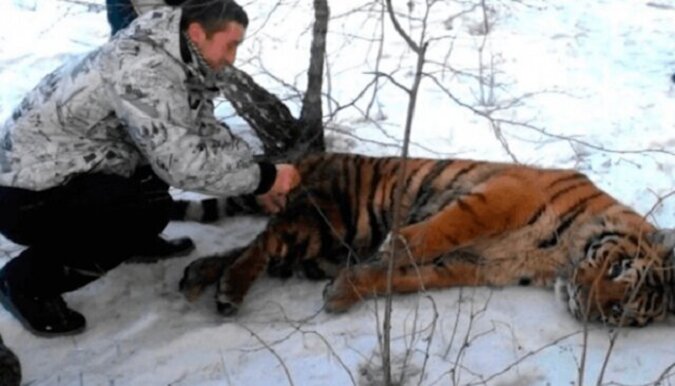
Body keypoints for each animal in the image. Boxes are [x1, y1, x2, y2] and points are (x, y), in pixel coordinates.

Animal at [178, 152, 675, 328]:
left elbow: (399, 278)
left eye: (620, 312)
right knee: (264, 242)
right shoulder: (506, 193)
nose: (583, 305)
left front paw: (344, 292)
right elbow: (444, 228)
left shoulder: (474, 265)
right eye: (617, 269)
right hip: (328, 220)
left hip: (327, 248)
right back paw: (228, 289)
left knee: (253, 247)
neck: (557, 260)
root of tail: (316, 156)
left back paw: (199, 276)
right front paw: (397, 246)